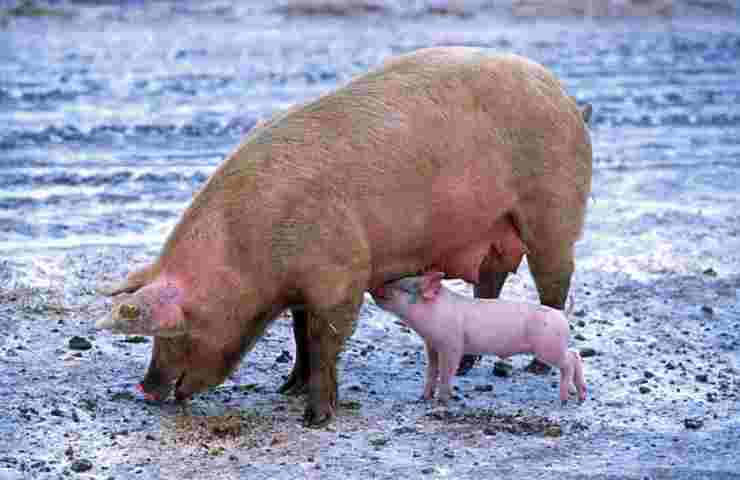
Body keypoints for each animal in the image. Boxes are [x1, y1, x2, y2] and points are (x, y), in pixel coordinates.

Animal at [372, 272, 588, 404]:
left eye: (402, 287)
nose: (376, 286)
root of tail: (562, 314)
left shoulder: (451, 344)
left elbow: (446, 372)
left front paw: (442, 401)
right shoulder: (431, 345)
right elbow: (431, 371)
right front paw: (423, 397)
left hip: (548, 348)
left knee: (569, 362)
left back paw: (564, 398)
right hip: (555, 346)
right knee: (575, 354)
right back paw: (581, 396)